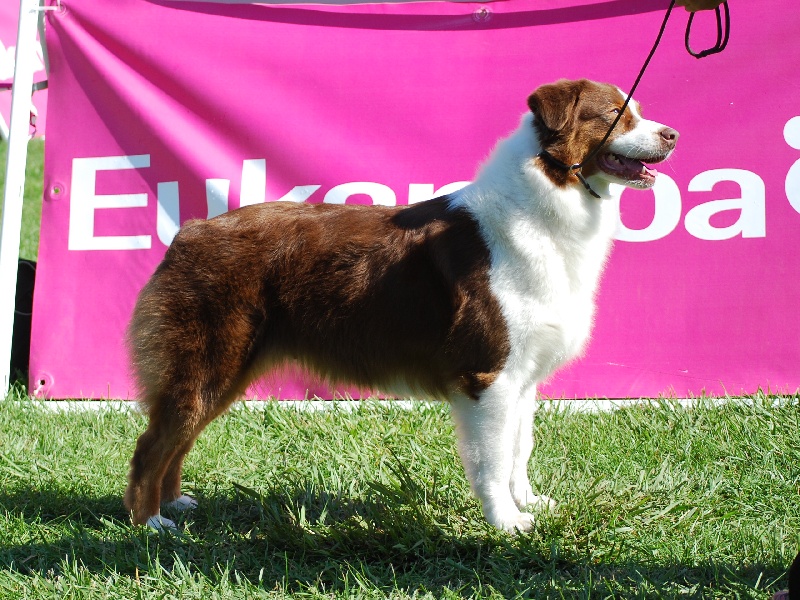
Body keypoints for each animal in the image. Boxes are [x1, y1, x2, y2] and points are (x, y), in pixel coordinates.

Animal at [123, 78, 676, 528]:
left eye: (639, 111)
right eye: (616, 113)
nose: (672, 134)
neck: (550, 195)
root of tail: (192, 230)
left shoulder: (522, 374)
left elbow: (520, 449)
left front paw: (529, 503)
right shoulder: (488, 374)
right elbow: (494, 458)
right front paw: (507, 524)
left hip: (224, 370)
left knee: (177, 439)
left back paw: (174, 504)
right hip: (207, 361)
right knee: (153, 444)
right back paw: (150, 524)